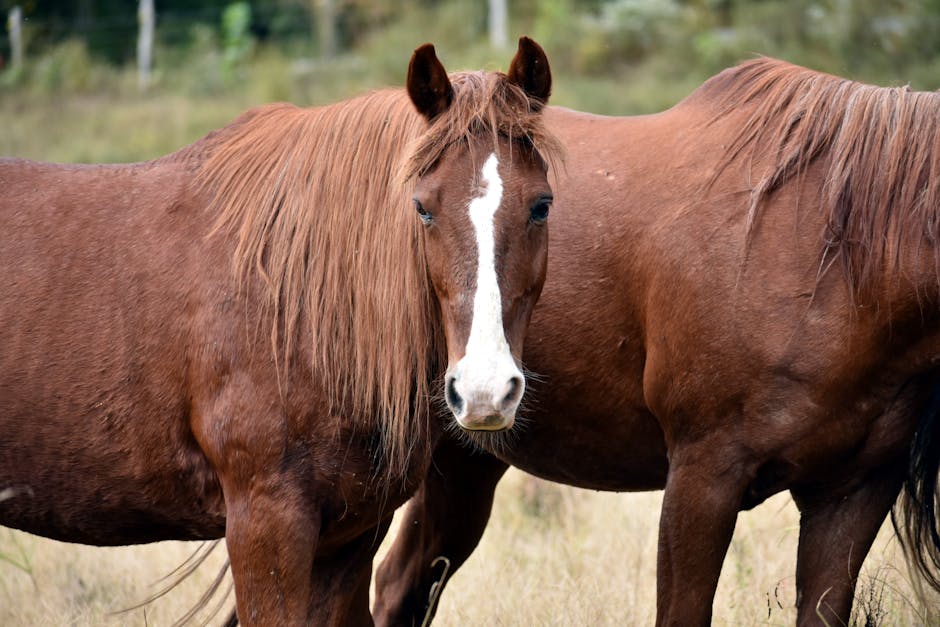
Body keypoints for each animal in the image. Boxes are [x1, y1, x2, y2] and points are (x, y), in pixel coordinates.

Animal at [0, 39, 560, 627]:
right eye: (422, 208)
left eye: (541, 205)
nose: (484, 391)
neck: (295, 304)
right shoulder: (266, 525)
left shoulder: (349, 538)